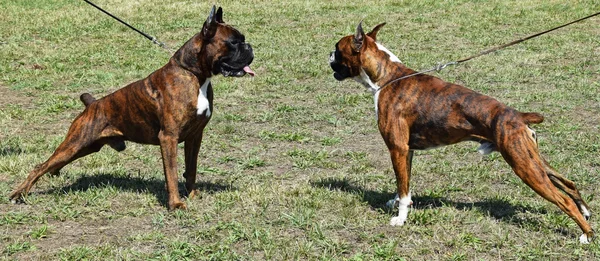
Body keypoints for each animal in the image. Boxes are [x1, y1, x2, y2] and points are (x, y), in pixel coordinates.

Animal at [8, 5, 253, 209]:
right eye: (234, 42)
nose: (250, 47)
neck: (194, 74)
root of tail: (93, 104)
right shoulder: (169, 138)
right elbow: (172, 173)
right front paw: (175, 204)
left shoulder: (195, 136)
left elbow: (190, 168)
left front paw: (192, 194)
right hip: (75, 143)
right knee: (39, 166)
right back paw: (19, 194)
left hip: (85, 147)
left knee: (52, 165)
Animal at [330, 21, 592, 243]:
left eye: (337, 49)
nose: (328, 55)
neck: (387, 77)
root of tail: (518, 115)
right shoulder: (406, 152)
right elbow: (403, 183)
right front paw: (395, 203)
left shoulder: (397, 148)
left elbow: (403, 190)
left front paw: (400, 218)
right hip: (531, 159)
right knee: (568, 183)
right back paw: (586, 212)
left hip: (523, 166)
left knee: (564, 200)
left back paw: (586, 235)